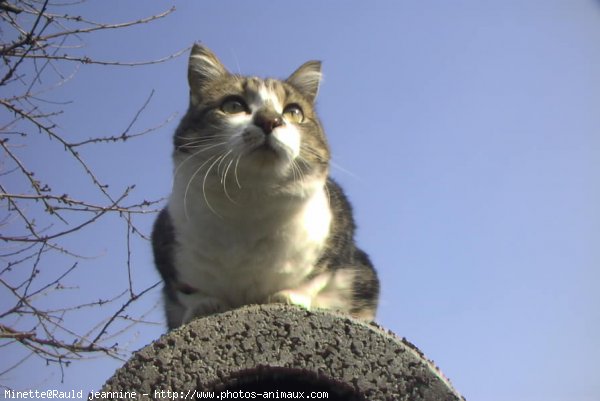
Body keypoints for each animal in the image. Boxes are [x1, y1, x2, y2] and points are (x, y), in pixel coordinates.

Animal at [154, 43, 380, 328]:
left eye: (293, 112)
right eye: (233, 105)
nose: (270, 120)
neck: (251, 201)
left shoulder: (340, 229)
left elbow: (315, 277)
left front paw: (288, 296)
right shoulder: (165, 238)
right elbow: (188, 290)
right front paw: (204, 306)